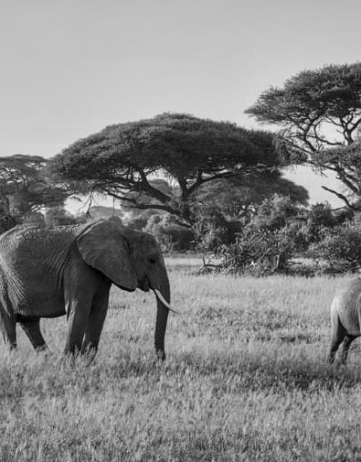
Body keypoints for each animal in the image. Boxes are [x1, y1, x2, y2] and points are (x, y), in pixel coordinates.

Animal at [0, 215, 176, 360]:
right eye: (152, 260)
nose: (159, 359)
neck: (125, 232)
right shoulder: (78, 265)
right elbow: (79, 309)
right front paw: (68, 364)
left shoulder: (103, 270)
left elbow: (99, 312)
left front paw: (86, 362)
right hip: (3, 280)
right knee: (8, 319)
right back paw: (14, 358)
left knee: (29, 322)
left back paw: (47, 359)